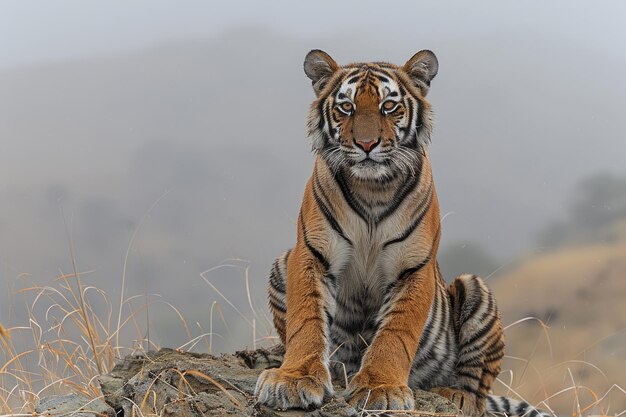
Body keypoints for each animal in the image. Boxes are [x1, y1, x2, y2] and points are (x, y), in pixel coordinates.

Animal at [255, 49, 552, 416]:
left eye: (388, 106)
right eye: (347, 107)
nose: (367, 144)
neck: (372, 188)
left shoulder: (414, 266)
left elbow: (396, 332)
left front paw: (380, 387)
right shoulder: (311, 254)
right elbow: (305, 320)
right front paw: (294, 379)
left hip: (475, 289)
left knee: (478, 392)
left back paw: (453, 395)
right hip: (281, 263)